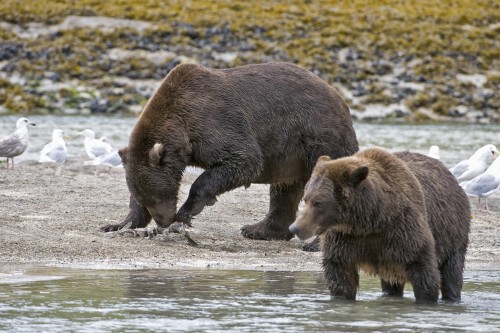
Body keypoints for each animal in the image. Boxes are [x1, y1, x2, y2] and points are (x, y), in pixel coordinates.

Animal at [102, 61, 360, 241]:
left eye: (157, 196)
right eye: (145, 198)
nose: (164, 221)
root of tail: (340, 100)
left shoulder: (215, 122)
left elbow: (243, 159)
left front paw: (188, 210)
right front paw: (117, 224)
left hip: (319, 137)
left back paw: (312, 243)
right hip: (291, 156)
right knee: (284, 190)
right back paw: (259, 230)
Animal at [292, 147, 470, 302]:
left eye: (318, 202)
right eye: (306, 198)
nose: (295, 227)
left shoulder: (404, 231)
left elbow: (423, 271)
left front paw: (426, 298)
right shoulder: (344, 240)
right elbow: (340, 276)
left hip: (453, 232)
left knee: (452, 271)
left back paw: (452, 297)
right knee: (392, 282)